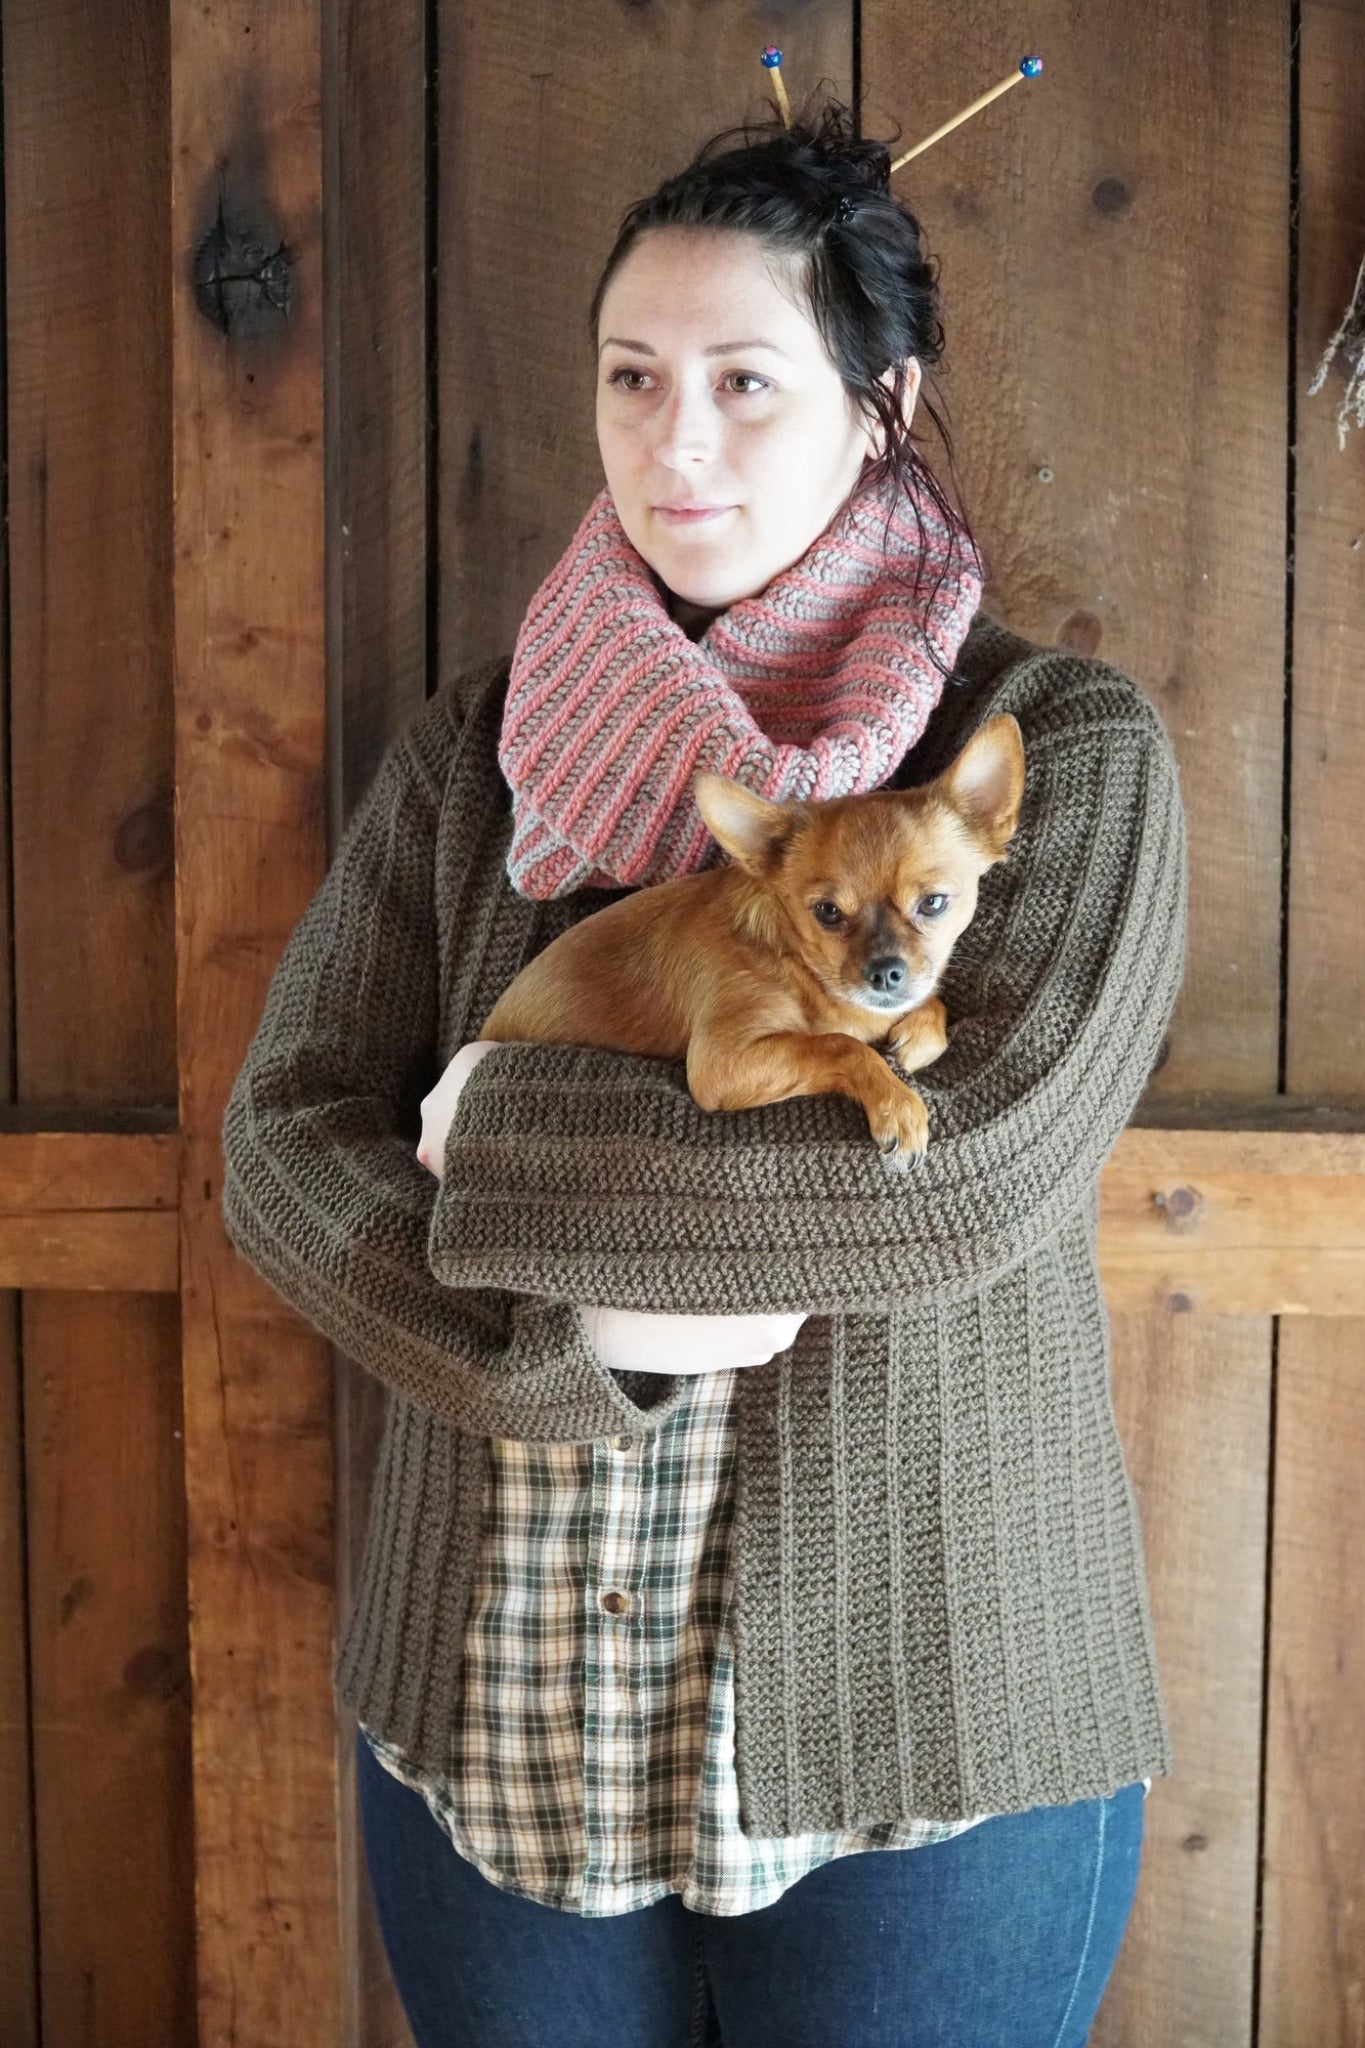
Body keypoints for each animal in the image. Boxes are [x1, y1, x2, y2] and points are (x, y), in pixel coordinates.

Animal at [480, 708, 1023, 1155]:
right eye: (827, 912)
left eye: (933, 903)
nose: (886, 972)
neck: (803, 969)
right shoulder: (722, 1062)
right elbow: (840, 1044)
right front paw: (896, 1104)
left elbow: (923, 1005)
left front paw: (915, 1034)